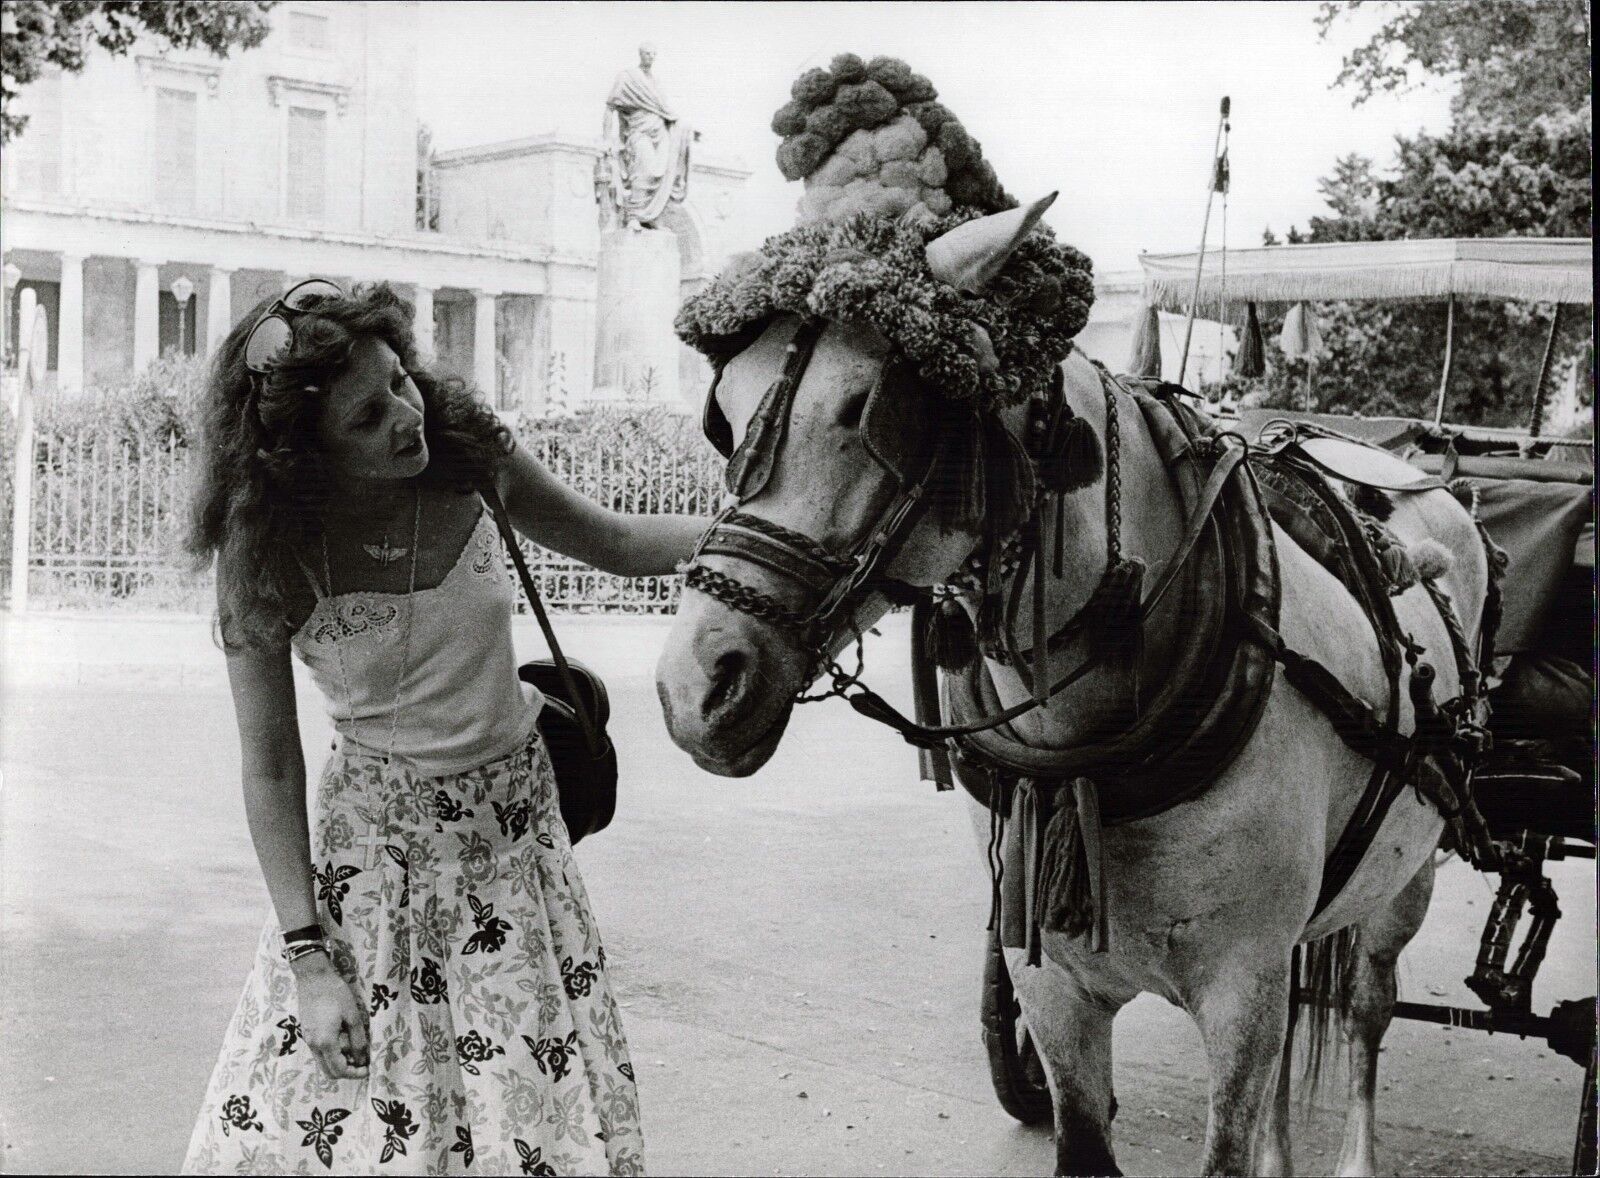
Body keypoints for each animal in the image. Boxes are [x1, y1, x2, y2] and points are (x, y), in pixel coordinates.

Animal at [649, 197, 1484, 1171]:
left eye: (874, 411)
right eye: (726, 413)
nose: (695, 685)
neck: (1095, 751)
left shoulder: (1243, 990)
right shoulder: (1051, 983)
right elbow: (1086, 1134)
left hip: (1408, 873)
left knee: (1363, 1006)